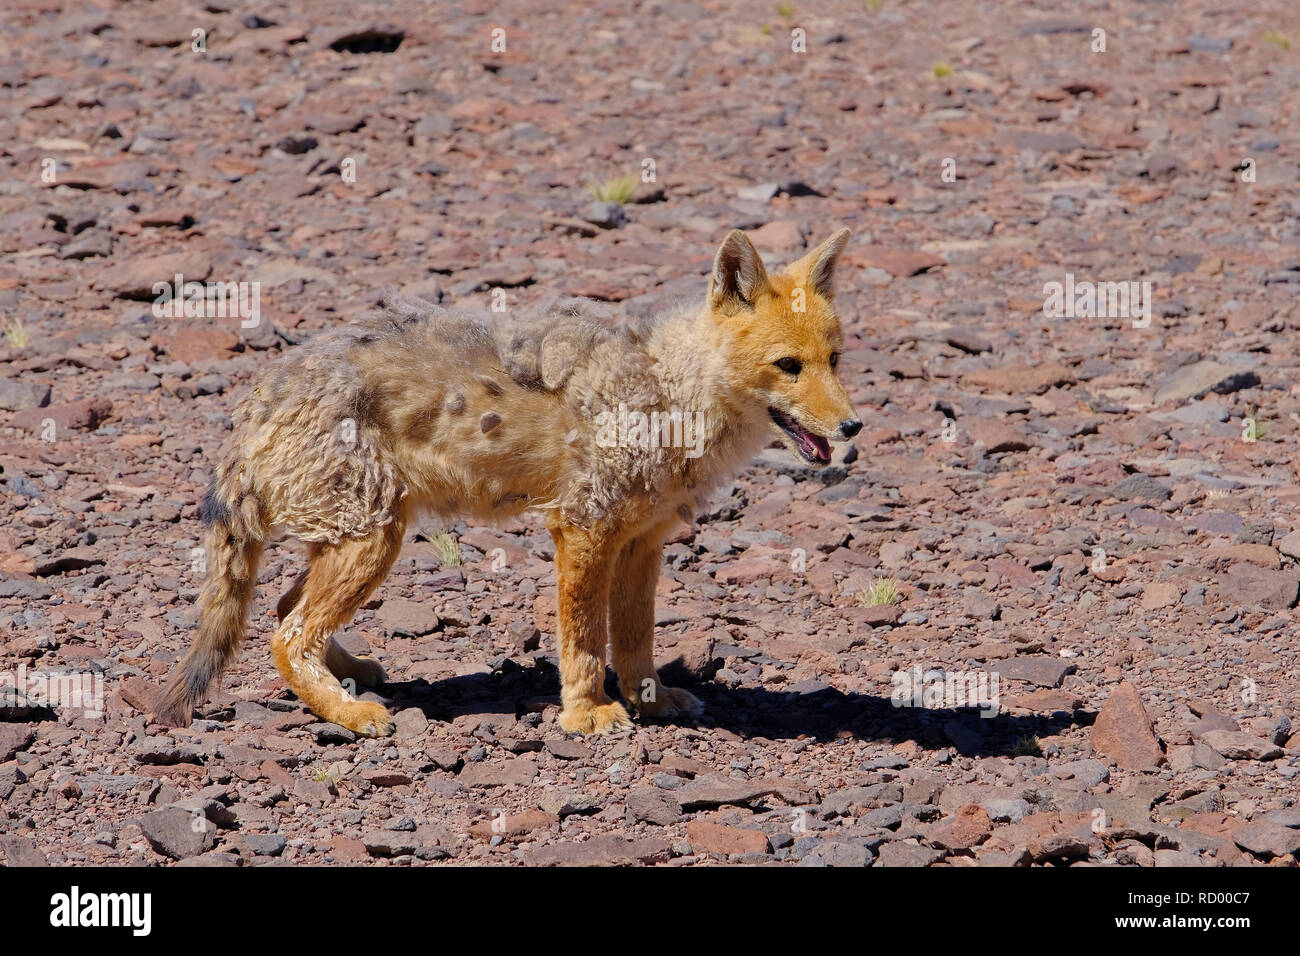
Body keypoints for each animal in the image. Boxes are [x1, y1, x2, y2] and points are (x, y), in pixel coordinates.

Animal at [154, 228, 863, 737]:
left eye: (834, 360)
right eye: (788, 366)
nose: (853, 426)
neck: (668, 390)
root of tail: (262, 395)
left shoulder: (642, 540)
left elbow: (636, 637)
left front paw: (650, 701)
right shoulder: (583, 527)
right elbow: (584, 637)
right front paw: (586, 713)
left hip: (354, 538)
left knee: (283, 610)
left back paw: (353, 677)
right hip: (374, 541)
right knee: (287, 634)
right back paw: (351, 713)